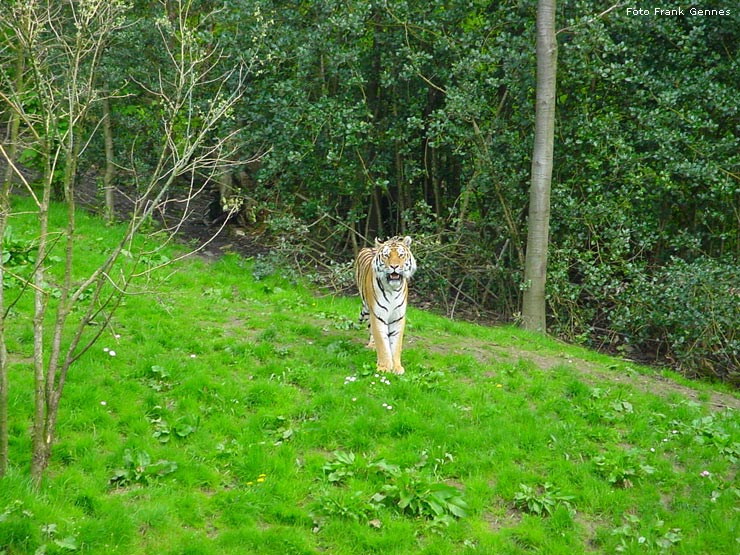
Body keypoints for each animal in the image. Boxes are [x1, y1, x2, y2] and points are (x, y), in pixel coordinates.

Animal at [354, 237, 416, 376]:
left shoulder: (398, 317)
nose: (394, 266)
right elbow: (382, 343)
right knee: (371, 330)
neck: (393, 289)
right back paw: (372, 346)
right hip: (368, 309)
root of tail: (371, 247)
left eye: (401, 255)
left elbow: (396, 344)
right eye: (386, 255)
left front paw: (397, 367)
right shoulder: (378, 315)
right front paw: (384, 367)